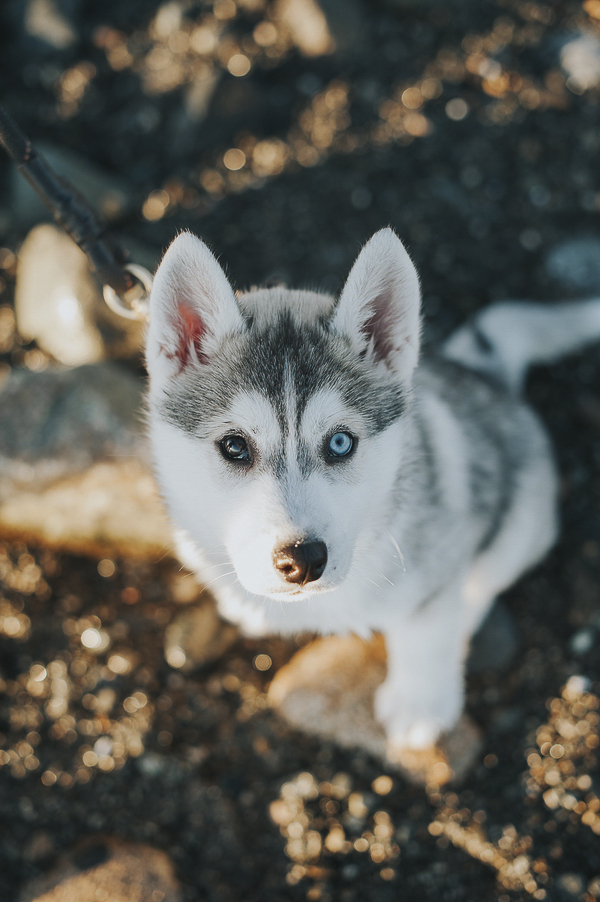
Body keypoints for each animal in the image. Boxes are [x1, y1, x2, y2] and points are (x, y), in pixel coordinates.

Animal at [145, 230, 600, 752]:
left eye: (340, 442)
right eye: (235, 446)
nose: (303, 560)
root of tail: (485, 374)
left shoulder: (435, 571)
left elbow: (426, 635)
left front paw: (420, 704)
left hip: (522, 524)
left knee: (483, 582)